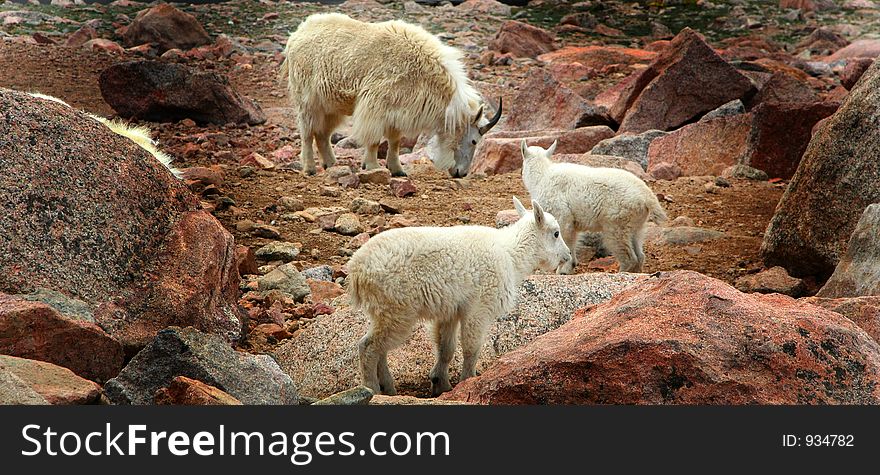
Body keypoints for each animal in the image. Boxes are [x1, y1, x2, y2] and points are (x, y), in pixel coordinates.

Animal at [282, 14, 502, 178]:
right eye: (474, 141)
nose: (461, 173)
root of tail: (296, 35)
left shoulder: (398, 110)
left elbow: (395, 141)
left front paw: (397, 170)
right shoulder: (375, 104)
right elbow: (373, 139)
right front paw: (371, 167)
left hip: (331, 105)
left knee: (322, 134)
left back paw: (331, 164)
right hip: (307, 100)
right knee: (307, 133)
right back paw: (310, 168)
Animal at [348, 197, 568, 398]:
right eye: (556, 233)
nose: (567, 256)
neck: (512, 255)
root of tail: (356, 270)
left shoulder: (450, 311)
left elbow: (446, 348)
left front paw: (441, 384)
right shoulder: (479, 307)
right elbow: (471, 348)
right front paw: (468, 380)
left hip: (383, 311)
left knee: (380, 348)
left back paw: (389, 388)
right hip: (397, 309)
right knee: (368, 347)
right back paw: (373, 388)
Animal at [524, 141, 668, 274]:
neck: (542, 175)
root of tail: (648, 197)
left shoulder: (561, 211)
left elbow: (565, 233)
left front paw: (562, 270)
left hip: (618, 217)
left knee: (620, 244)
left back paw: (622, 271)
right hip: (637, 219)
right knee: (637, 244)